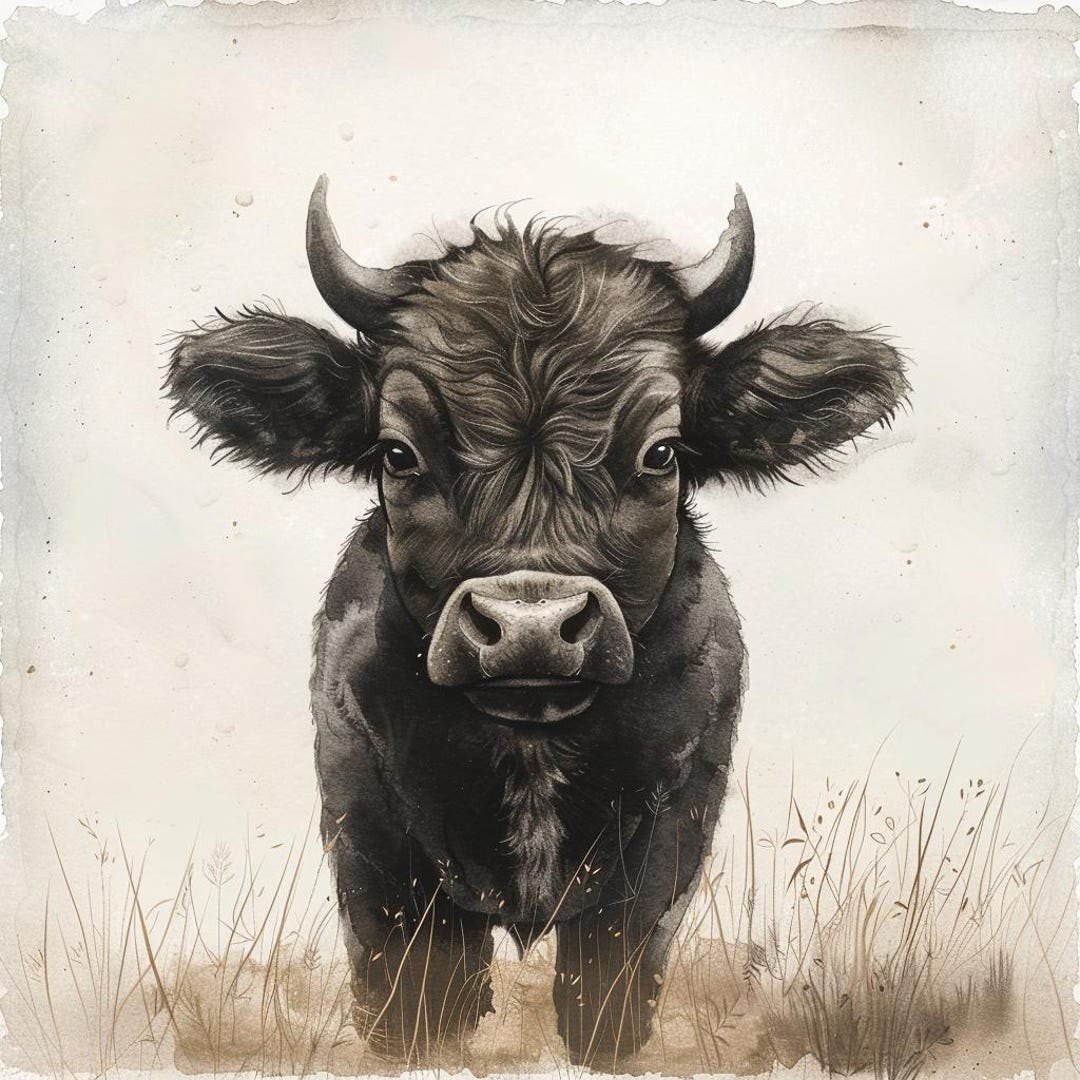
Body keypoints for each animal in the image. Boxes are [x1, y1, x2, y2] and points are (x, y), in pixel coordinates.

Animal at [164, 176, 907, 1069]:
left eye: (662, 453)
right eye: (397, 453)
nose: (531, 627)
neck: (529, 752)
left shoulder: (668, 836)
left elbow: (606, 998)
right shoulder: (371, 833)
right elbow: (418, 998)